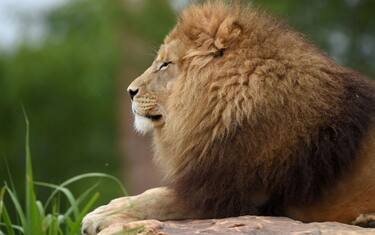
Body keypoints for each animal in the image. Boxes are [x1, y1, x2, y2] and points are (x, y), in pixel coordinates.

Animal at [81, 0, 375, 234]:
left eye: (165, 64)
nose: (129, 91)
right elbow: (152, 192)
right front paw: (110, 207)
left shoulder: (232, 195)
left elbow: (159, 198)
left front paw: (100, 216)